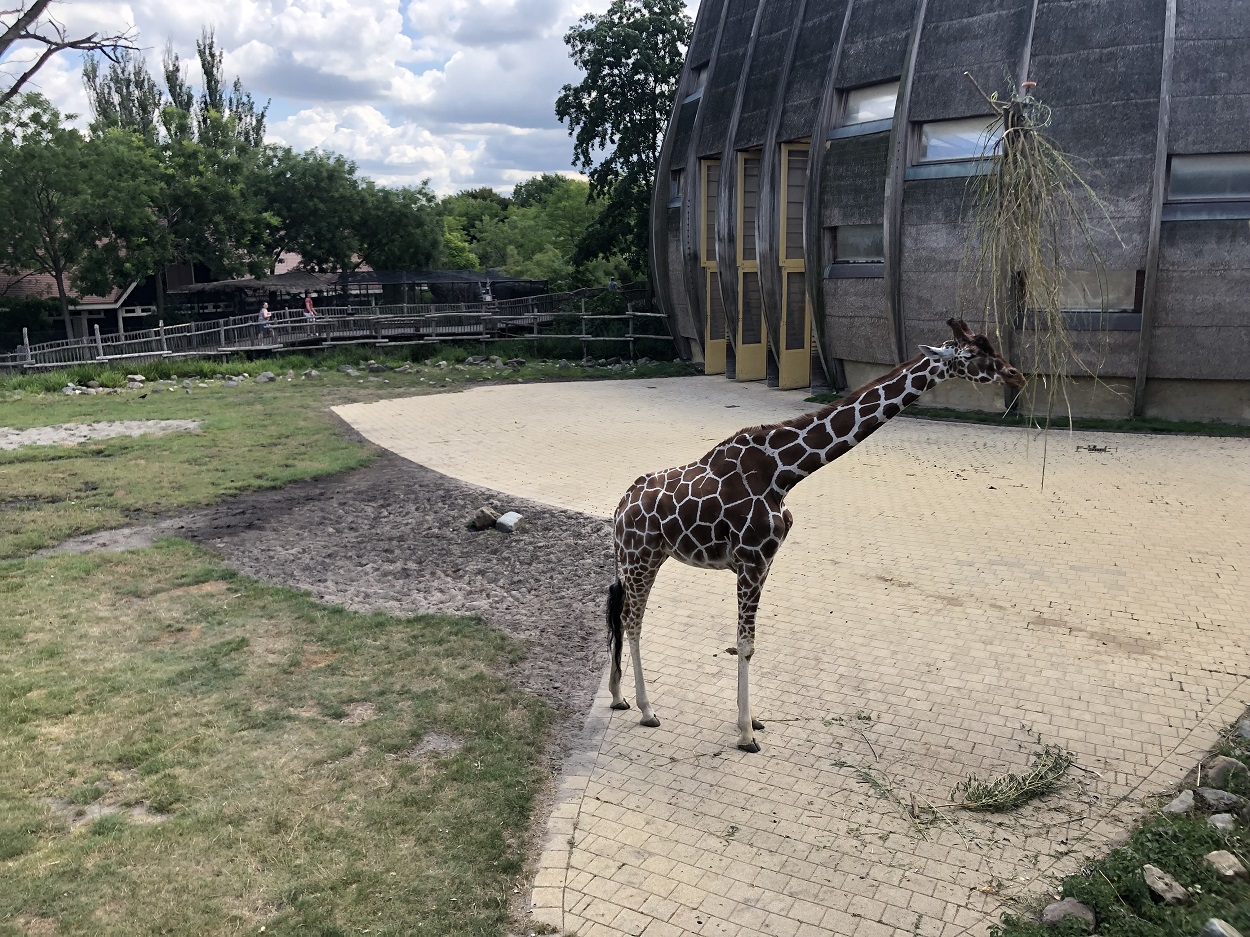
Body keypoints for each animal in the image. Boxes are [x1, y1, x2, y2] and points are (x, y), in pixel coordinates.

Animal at [605, 319, 1025, 754]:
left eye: (991, 345)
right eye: (971, 354)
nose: (1017, 375)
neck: (784, 473)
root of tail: (621, 505)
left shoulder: (763, 564)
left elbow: (746, 641)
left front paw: (752, 719)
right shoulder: (752, 560)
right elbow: (746, 643)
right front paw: (745, 734)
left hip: (643, 557)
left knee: (620, 613)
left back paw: (618, 697)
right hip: (641, 556)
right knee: (632, 619)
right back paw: (646, 709)